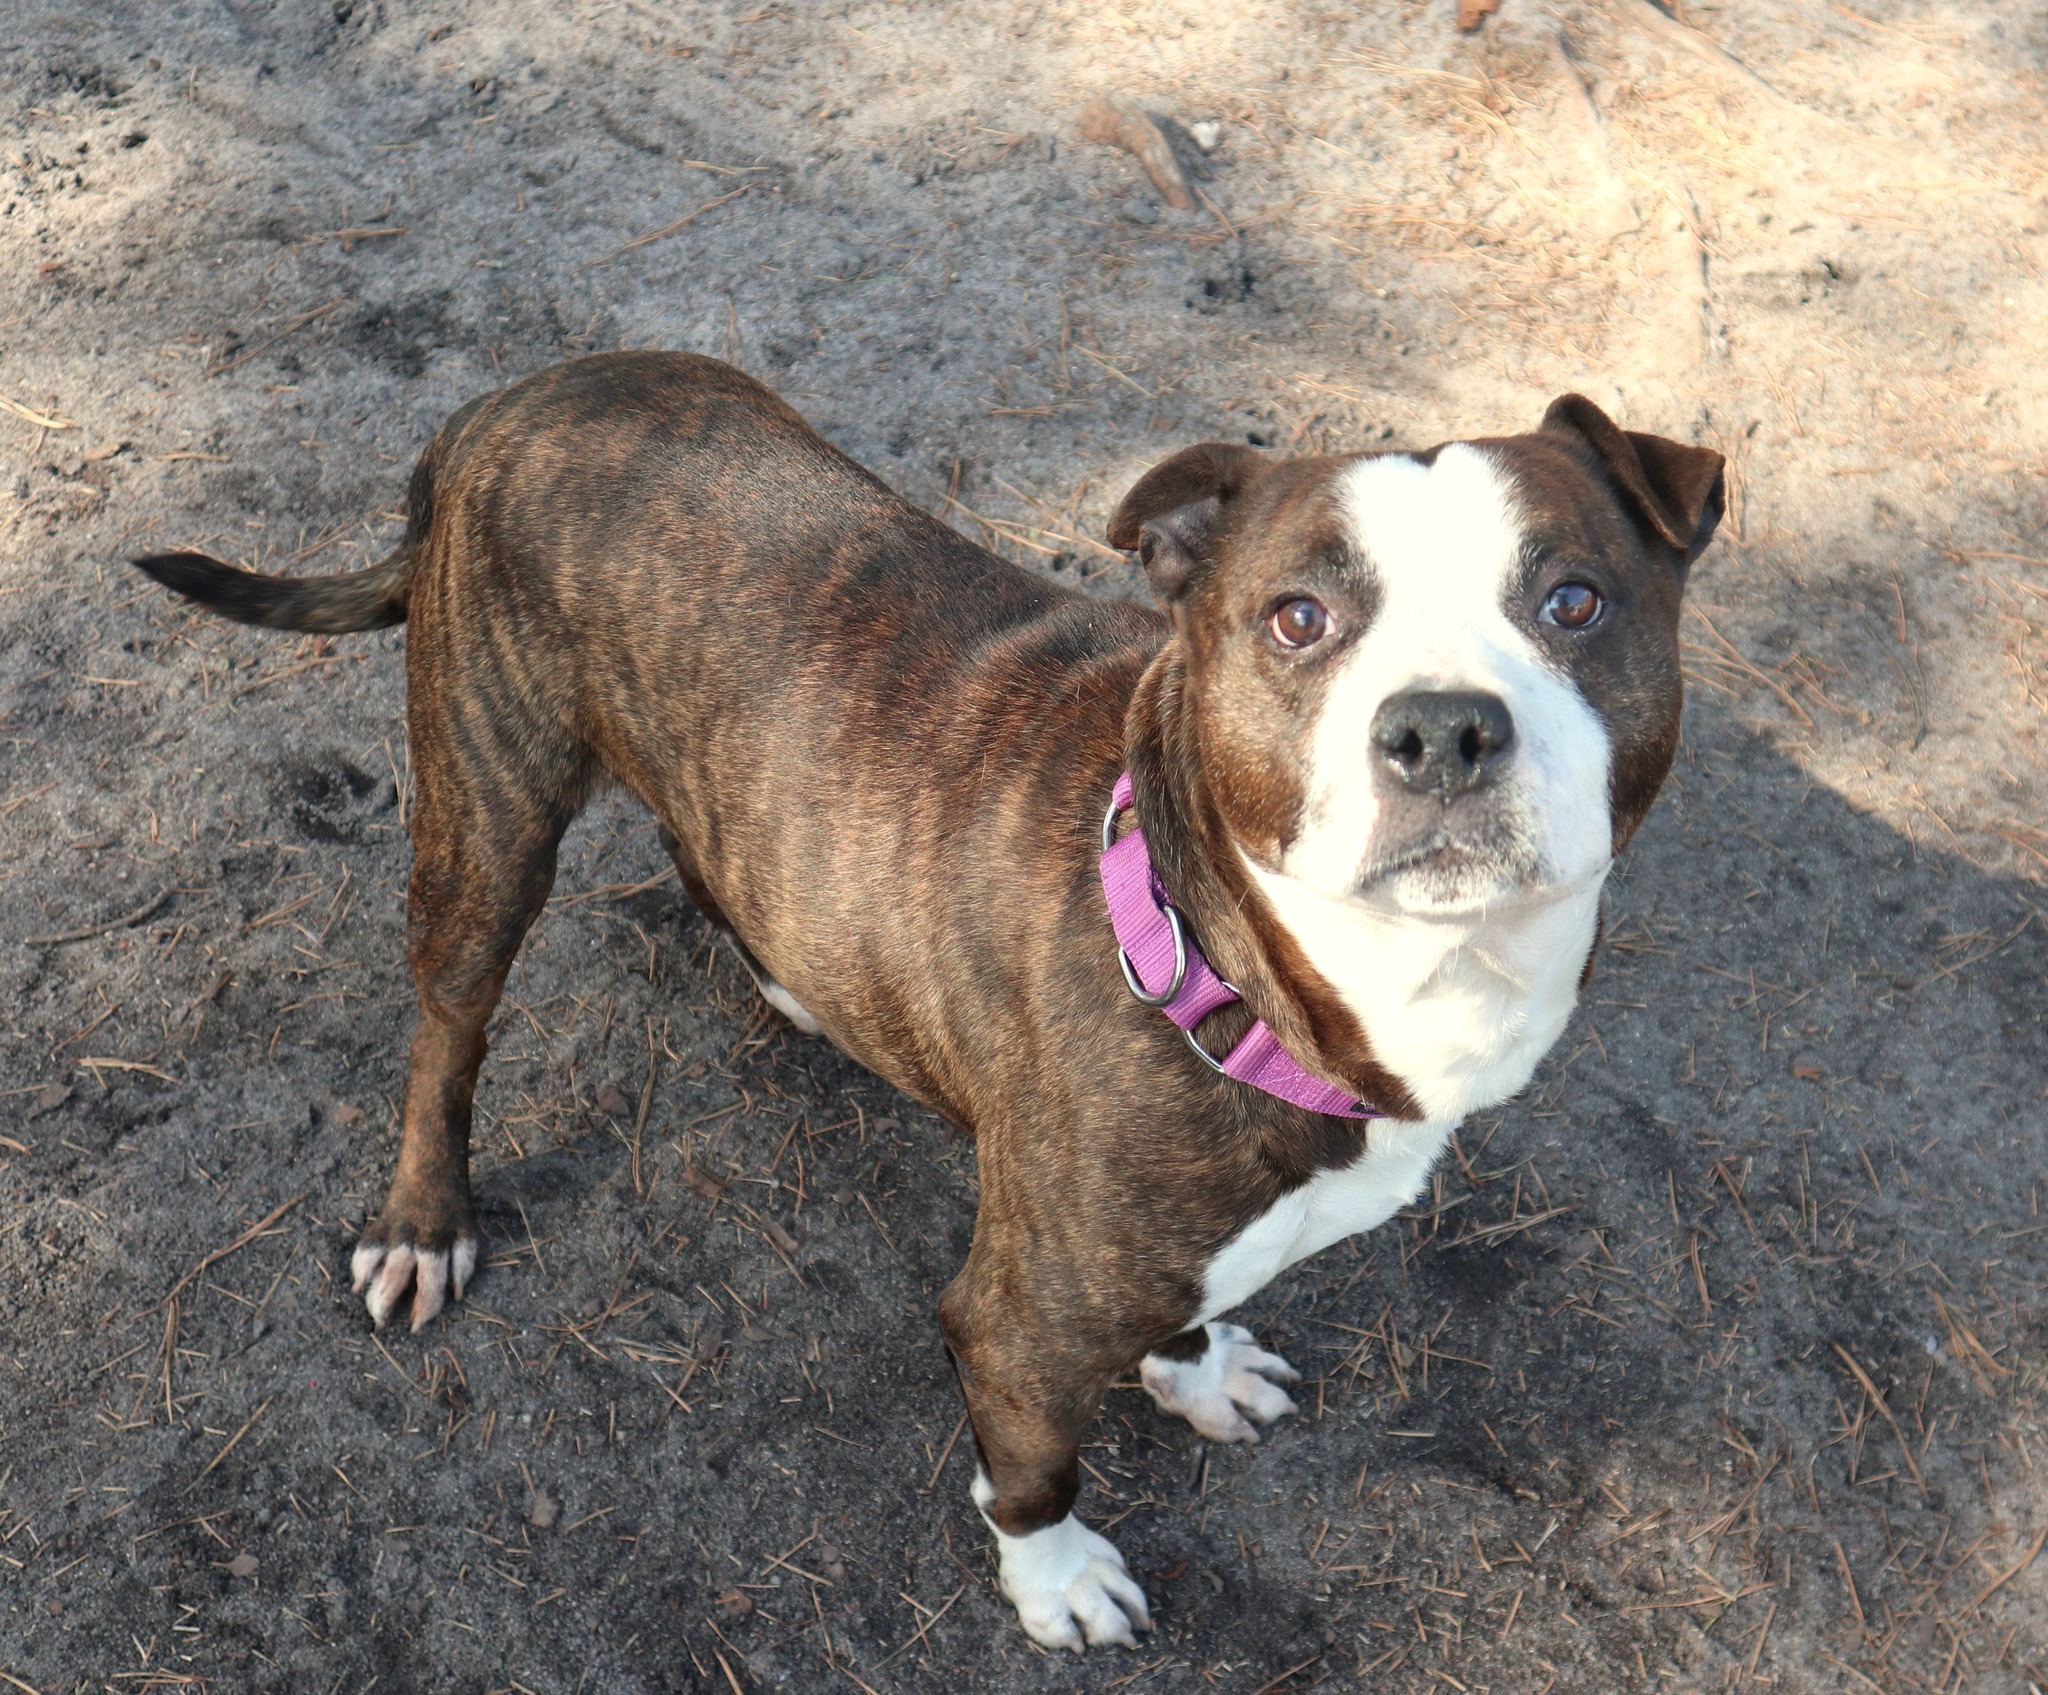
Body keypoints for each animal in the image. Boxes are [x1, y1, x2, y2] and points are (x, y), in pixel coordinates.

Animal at [136, 350, 1720, 1645]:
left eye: (1574, 600)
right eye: (1296, 619)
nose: (1443, 727)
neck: (1226, 955)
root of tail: (501, 404)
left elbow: (1188, 1306)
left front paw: (1195, 1369)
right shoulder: (1013, 1321)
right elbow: (1032, 1465)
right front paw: (1057, 1579)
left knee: (705, 846)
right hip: (489, 817)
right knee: (448, 1030)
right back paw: (422, 1219)